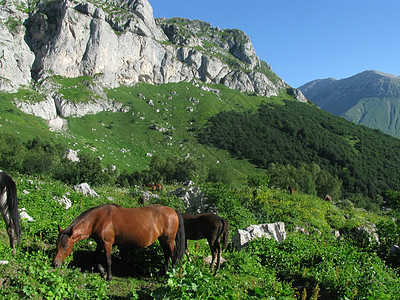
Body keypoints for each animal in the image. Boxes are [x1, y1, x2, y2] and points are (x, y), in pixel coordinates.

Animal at [52, 204, 185, 282]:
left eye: (66, 246)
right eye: (56, 244)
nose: (55, 264)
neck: (98, 219)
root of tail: (173, 211)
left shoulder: (107, 243)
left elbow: (108, 260)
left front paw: (109, 277)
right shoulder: (100, 243)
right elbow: (95, 258)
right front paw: (103, 273)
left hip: (169, 240)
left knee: (173, 257)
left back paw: (170, 276)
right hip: (162, 239)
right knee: (167, 255)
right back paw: (164, 273)